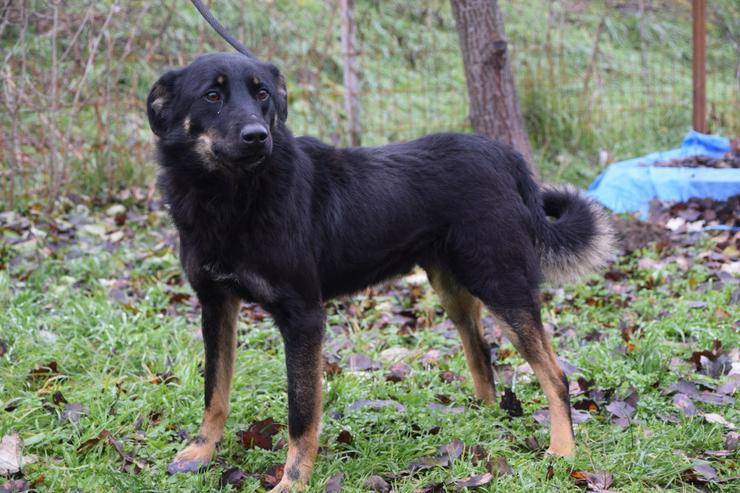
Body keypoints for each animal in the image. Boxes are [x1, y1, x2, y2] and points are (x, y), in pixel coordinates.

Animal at [147, 51, 616, 488]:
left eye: (262, 94)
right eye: (212, 96)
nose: (257, 137)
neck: (232, 196)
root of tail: (506, 156)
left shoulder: (303, 317)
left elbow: (302, 410)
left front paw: (293, 480)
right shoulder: (215, 305)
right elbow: (215, 390)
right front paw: (200, 453)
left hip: (500, 282)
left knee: (555, 374)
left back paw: (563, 450)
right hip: (453, 286)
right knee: (481, 353)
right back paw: (481, 417)